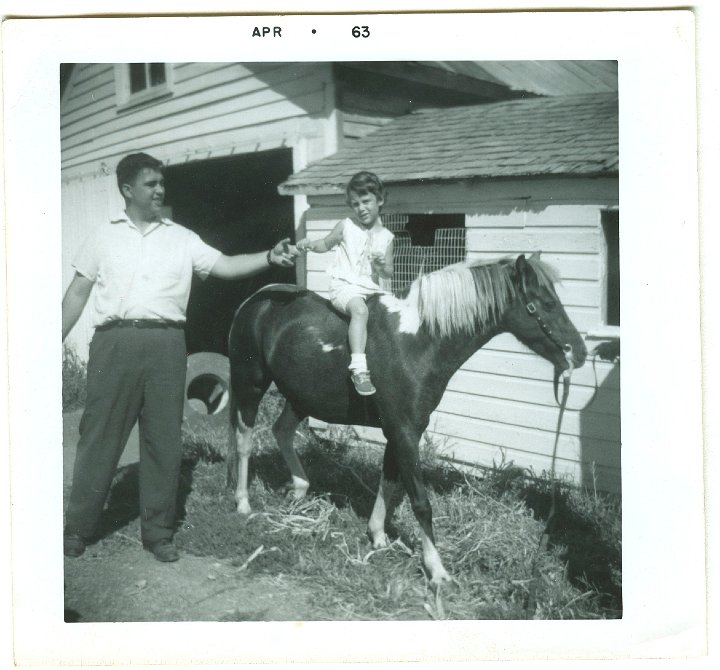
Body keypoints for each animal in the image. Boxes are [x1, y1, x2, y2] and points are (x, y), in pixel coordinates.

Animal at [228, 258, 588, 588]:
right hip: (251, 386)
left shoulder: (402, 429)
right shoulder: (403, 431)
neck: (417, 342)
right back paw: (243, 502)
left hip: (300, 397)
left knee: (281, 431)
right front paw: (437, 570)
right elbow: (421, 502)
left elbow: (388, 482)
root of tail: (256, 299)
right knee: (245, 441)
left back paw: (299, 488)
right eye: (547, 304)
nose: (580, 353)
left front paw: (377, 536)